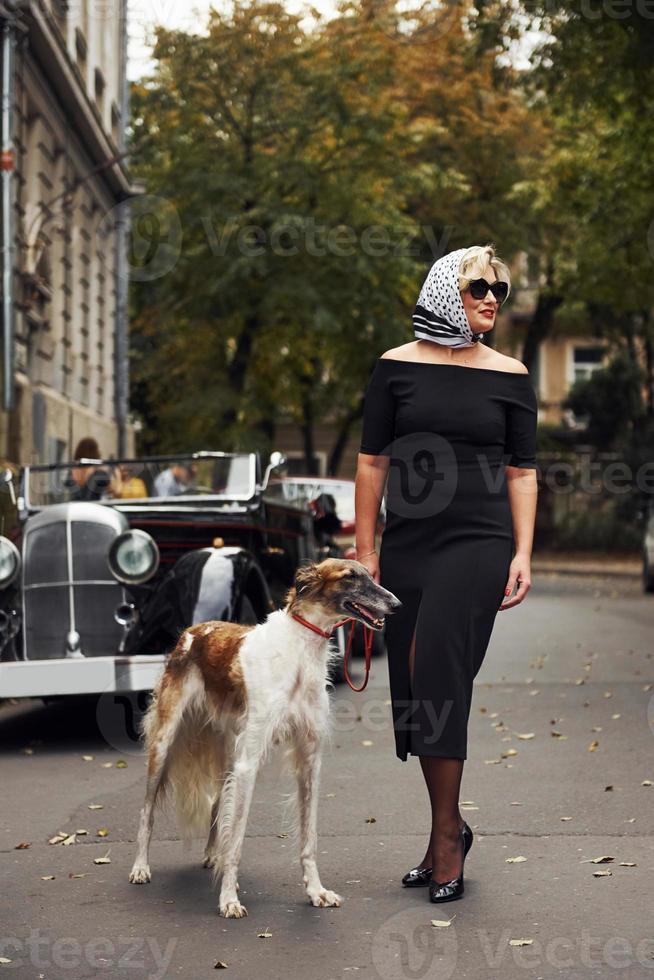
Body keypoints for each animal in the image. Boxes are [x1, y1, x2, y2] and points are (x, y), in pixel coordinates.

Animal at [128, 560, 402, 920]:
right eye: (349, 577)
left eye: (370, 575)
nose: (396, 604)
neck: (299, 652)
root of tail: (193, 631)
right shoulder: (250, 762)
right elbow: (237, 840)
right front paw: (229, 899)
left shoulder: (309, 758)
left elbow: (309, 837)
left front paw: (316, 891)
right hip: (166, 742)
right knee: (146, 811)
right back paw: (140, 867)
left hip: (228, 749)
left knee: (217, 802)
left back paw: (212, 854)